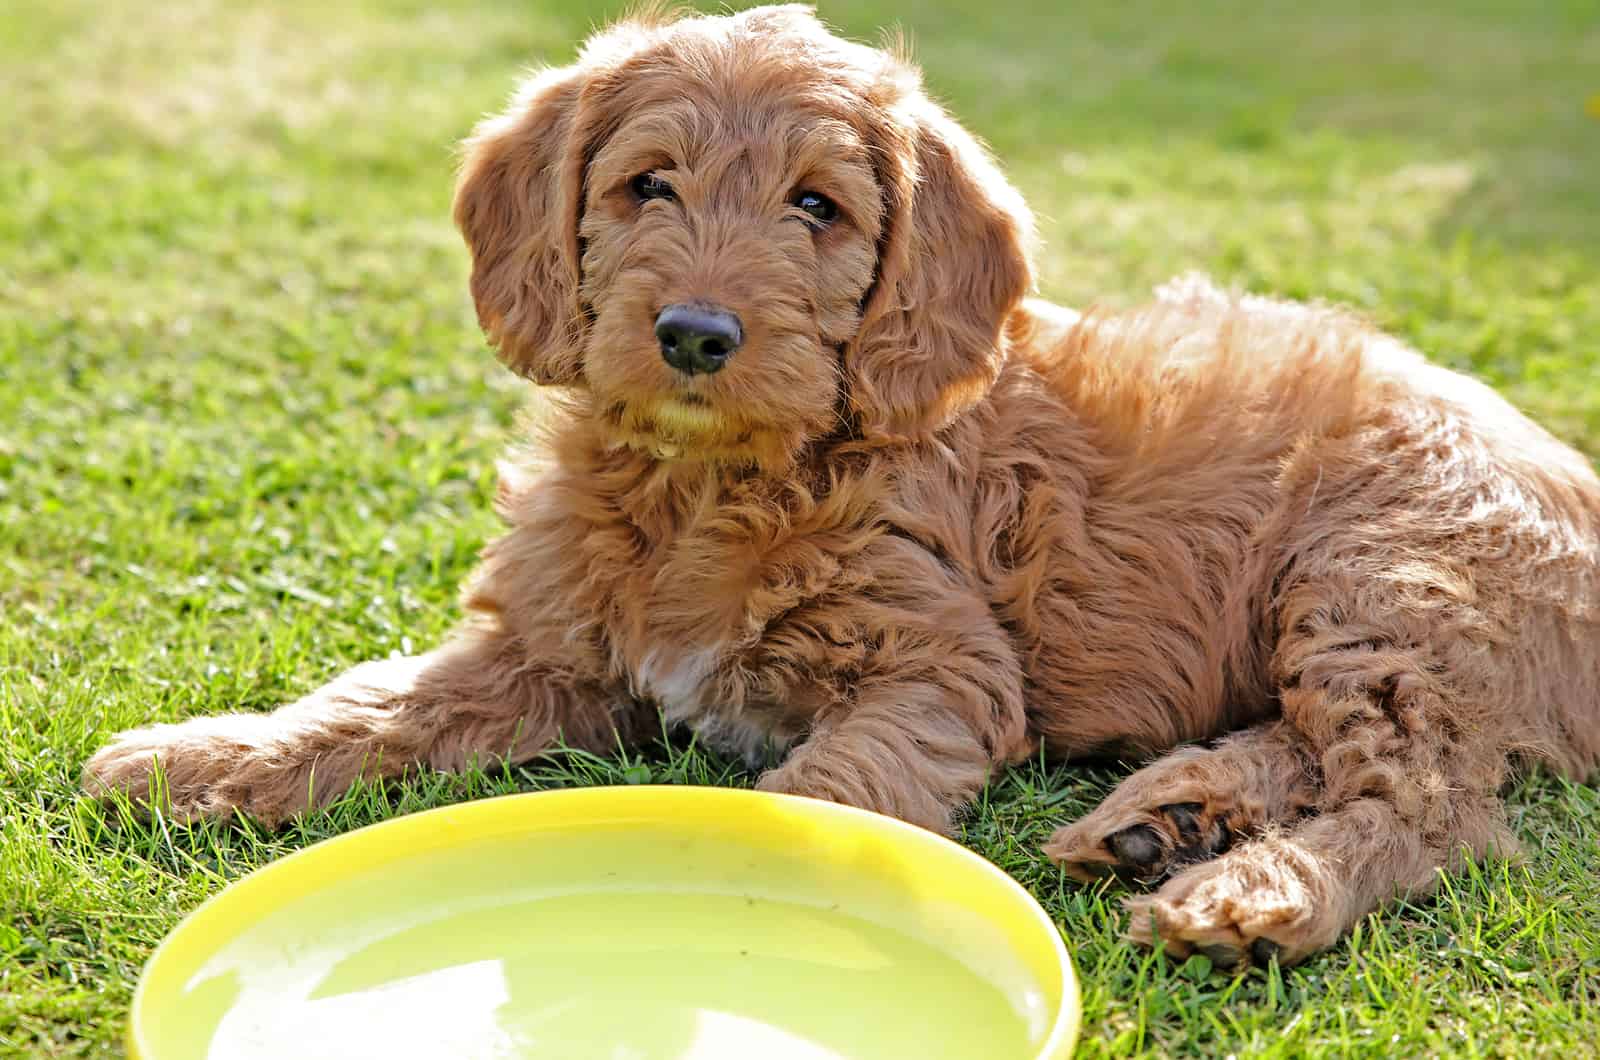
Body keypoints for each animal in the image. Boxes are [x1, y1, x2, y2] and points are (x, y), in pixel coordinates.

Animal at [87, 8, 1600, 973]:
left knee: (1436, 806)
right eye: (646, 186)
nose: (697, 333)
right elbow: (382, 701)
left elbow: (826, 788)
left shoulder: (938, 668)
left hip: (1385, 580)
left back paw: (1251, 889)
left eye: (816, 207)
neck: (713, 482)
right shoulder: (548, 652)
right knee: (1326, 751)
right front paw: (203, 754)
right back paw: (1166, 817)